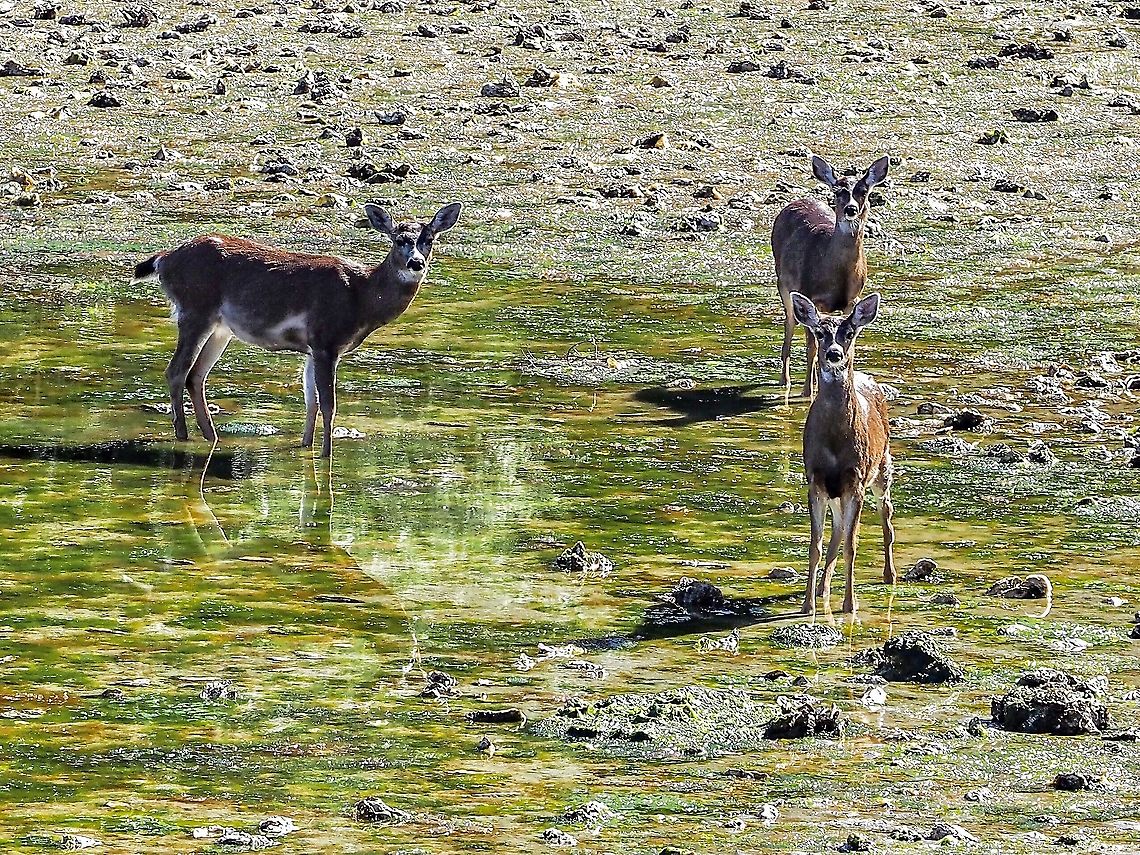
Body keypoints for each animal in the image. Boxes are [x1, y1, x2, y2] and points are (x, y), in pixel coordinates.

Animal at [132, 202, 463, 458]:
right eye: (398, 239)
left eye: (429, 239)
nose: (416, 263)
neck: (362, 296)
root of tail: (164, 259)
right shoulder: (326, 340)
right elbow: (328, 404)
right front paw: (326, 456)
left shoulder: (312, 348)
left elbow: (310, 401)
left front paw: (306, 447)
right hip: (195, 309)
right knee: (176, 371)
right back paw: (183, 437)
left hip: (221, 328)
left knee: (195, 376)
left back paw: (212, 438)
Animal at [772, 153, 890, 398]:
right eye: (838, 191)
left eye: (863, 190)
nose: (851, 209)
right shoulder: (808, 293)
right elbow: (812, 347)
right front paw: (807, 392)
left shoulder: (852, 300)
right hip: (783, 284)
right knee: (789, 324)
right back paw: (785, 381)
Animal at [790, 291, 895, 615]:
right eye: (819, 332)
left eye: (849, 333)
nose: (835, 354)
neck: (836, 445)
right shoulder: (815, 480)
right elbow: (816, 544)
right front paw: (807, 605)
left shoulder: (855, 480)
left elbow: (852, 544)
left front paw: (850, 604)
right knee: (836, 531)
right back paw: (823, 588)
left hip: (883, 467)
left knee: (887, 517)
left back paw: (890, 575)